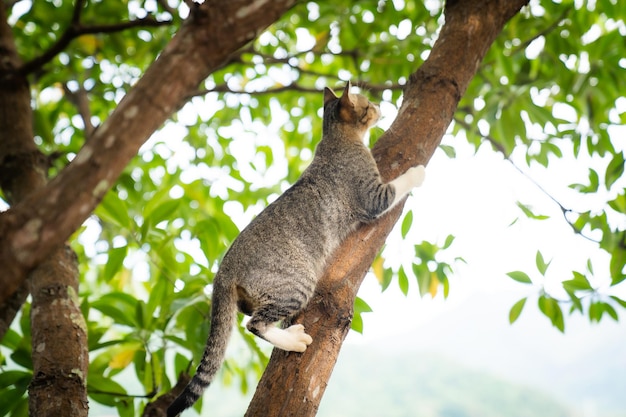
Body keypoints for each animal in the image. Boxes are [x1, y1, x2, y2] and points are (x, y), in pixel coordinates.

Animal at [166, 82, 424, 416]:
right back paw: (293, 340)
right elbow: (397, 185)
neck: (335, 138)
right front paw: (418, 172)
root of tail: (222, 271)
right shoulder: (371, 196)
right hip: (297, 283)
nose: (381, 105)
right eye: (368, 104)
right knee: (255, 324)